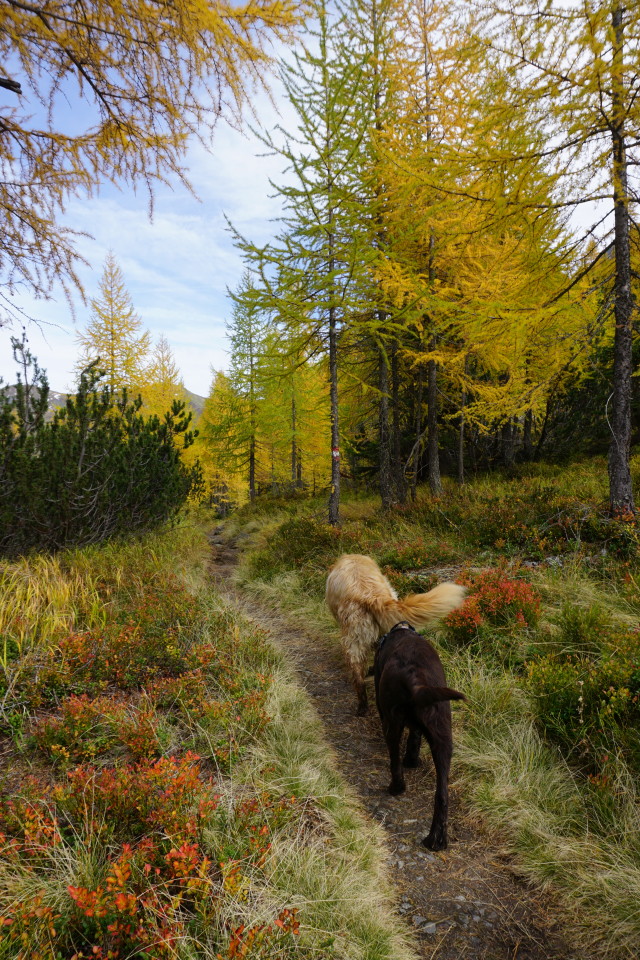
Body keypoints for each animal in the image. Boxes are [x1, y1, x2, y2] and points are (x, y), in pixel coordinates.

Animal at [370, 624, 464, 848]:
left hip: (391, 723)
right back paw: (436, 841)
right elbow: (415, 737)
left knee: (394, 762)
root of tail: (416, 680)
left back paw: (396, 788)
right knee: (442, 795)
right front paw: (412, 761)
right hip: (443, 736)